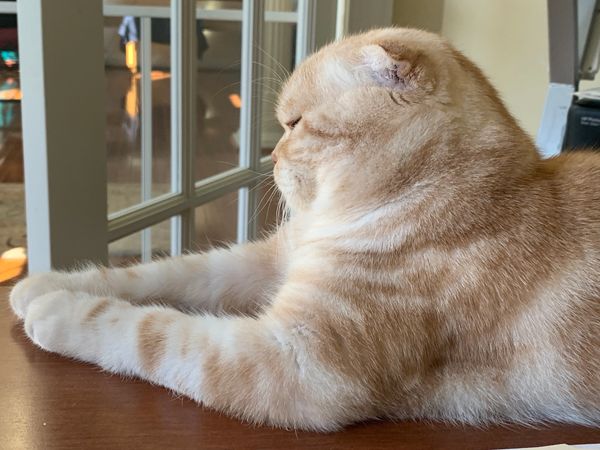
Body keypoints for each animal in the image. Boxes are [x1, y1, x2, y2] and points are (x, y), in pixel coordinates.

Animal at [9, 27, 600, 428]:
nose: (269, 156)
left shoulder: (295, 363)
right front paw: (41, 284)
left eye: (294, 123)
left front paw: (55, 312)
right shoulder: (263, 263)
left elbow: (146, 328)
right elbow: (155, 276)